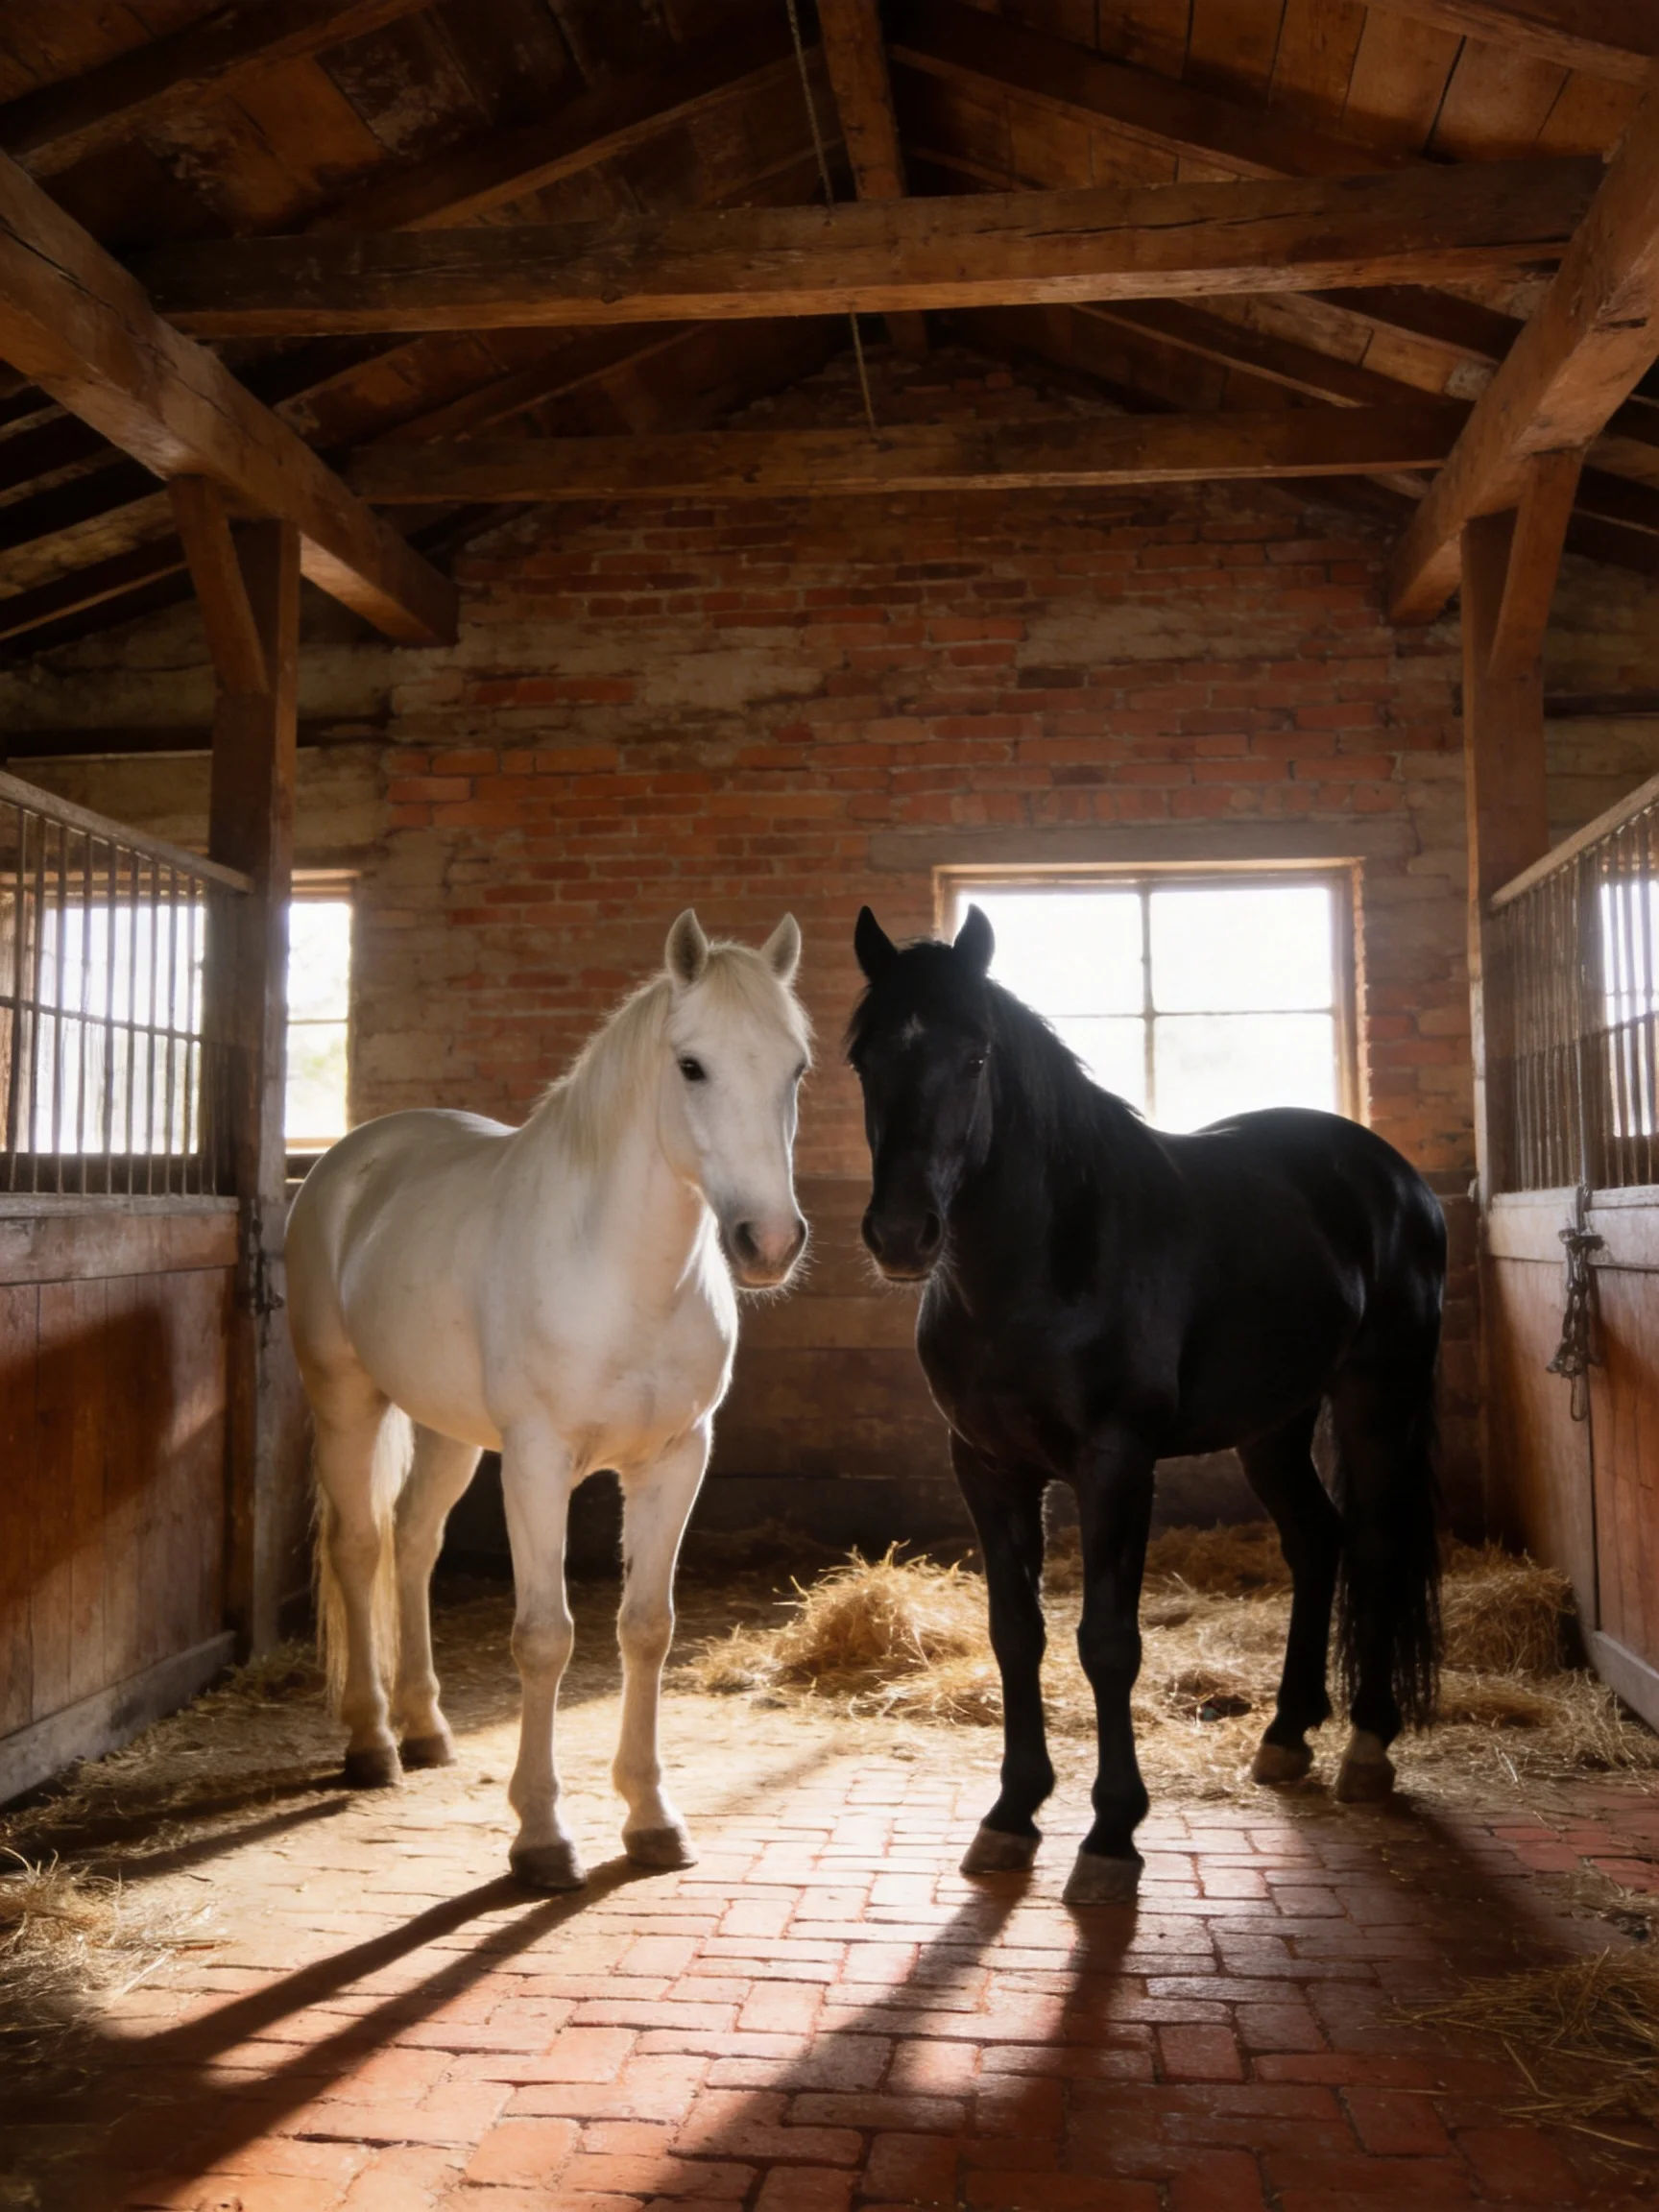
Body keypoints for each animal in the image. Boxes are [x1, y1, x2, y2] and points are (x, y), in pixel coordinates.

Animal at [286, 910, 811, 1891]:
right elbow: (544, 1637)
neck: (619, 1269)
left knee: (414, 1544)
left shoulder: (677, 1458)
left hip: (449, 1432)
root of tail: (353, 1160)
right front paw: (540, 1835)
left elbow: (647, 1628)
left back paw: (426, 1728)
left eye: (796, 1067)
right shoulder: (536, 1463)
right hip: (347, 1399)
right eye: (691, 1065)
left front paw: (651, 1818)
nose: (767, 1242)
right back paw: (373, 1741)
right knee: (361, 1546)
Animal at [847, 903, 1445, 1906]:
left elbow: (1107, 1643)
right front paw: (1011, 1815)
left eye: (975, 1056)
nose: (899, 1235)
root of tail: (1395, 1178)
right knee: (1315, 1540)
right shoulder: (988, 1468)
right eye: (863, 1056)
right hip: (1273, 1424)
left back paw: (1366, 1746)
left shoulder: (1115, 1466)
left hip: (1376, 1400)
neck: (1047, 1263)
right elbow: (1016, 1634)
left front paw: (1110, 1836)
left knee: (1373, 1545)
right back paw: (1286, 1735)